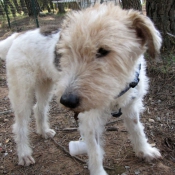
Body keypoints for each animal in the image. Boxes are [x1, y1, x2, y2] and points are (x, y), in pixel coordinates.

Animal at [0, 25, 61, 165]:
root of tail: (18, 35)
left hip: (45, 83)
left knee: (38, 108)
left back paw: (44, 131)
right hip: (23, 91)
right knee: (20, 125)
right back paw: (24, 154)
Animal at [55, 3, 162, 175]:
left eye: (103, 51)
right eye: (69, 49)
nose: (67, 101)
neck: (114, 94)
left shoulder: (131, 106)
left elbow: (137, 129)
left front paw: (144, 151)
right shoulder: (89, 119)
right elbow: (95, 151)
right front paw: (98, 171)